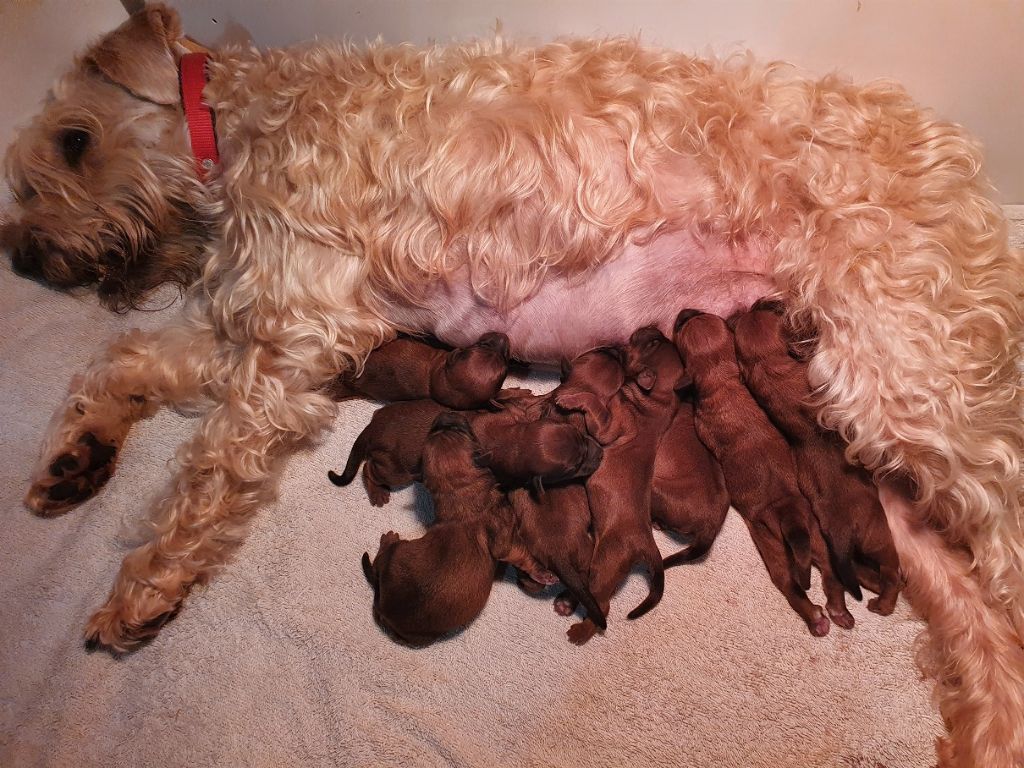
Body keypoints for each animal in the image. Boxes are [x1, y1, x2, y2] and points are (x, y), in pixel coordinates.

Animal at [552, 333, 688, 647]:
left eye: (648, 344)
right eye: (655, 340)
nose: (651, 329)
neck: (657, 399)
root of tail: (646, 543)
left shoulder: (608, 426)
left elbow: (594, 401)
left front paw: (571, 398)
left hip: (606, 561)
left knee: (602, 604)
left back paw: (580, 631)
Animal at [671, 311, 831, 638]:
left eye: (680, 329)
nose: (683, 313)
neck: (723, 383)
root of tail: (788, 511)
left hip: (773, 549)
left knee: (790, 586)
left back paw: (814, 617)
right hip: (815, 537)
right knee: (828, 572)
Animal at [729, 303, 905, 618]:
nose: (757, 302)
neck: (772, 369)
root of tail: (844, 531)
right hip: (880, 541)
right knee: (890, 574)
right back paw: (882, 604)